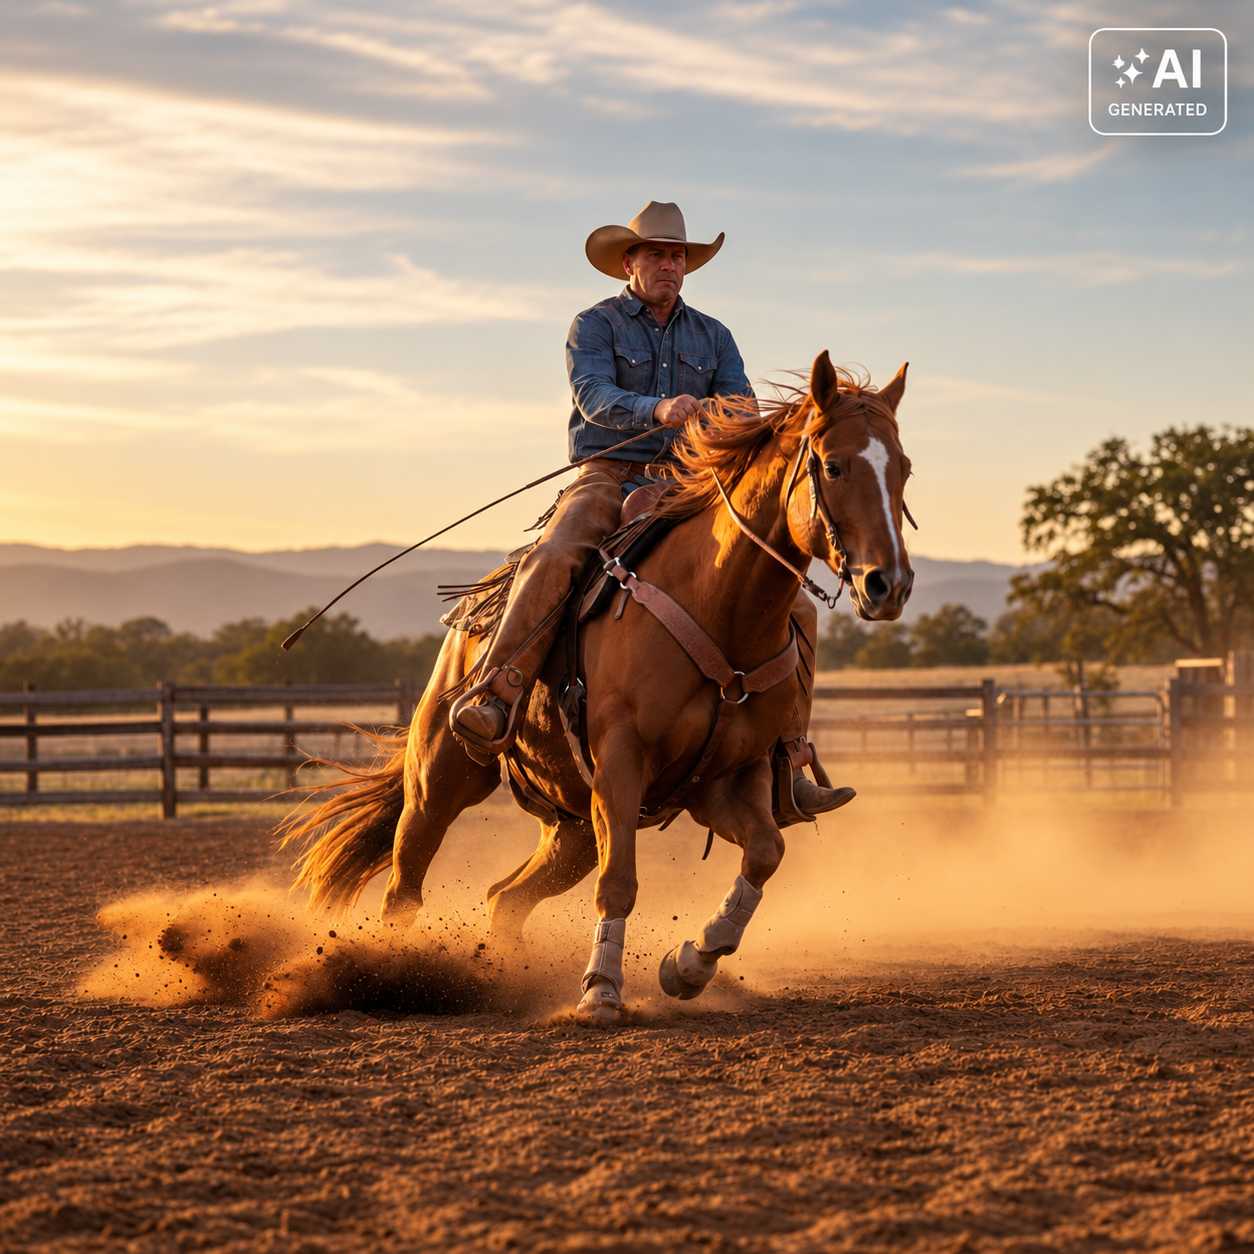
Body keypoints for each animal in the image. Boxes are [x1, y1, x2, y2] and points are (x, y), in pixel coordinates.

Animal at [278, 350, 914, 1024]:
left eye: (903, 468)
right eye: (834, 465)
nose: (888, 584)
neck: (717, 604)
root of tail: (472, 616)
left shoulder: (724, 781)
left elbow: (766, 853)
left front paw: (688, 965)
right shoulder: (621, 764)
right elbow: (622, 883)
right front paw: (601, 991)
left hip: (574, 827)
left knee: (505, 897)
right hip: (441, 779)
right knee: (404, 888)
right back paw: (392, 974)